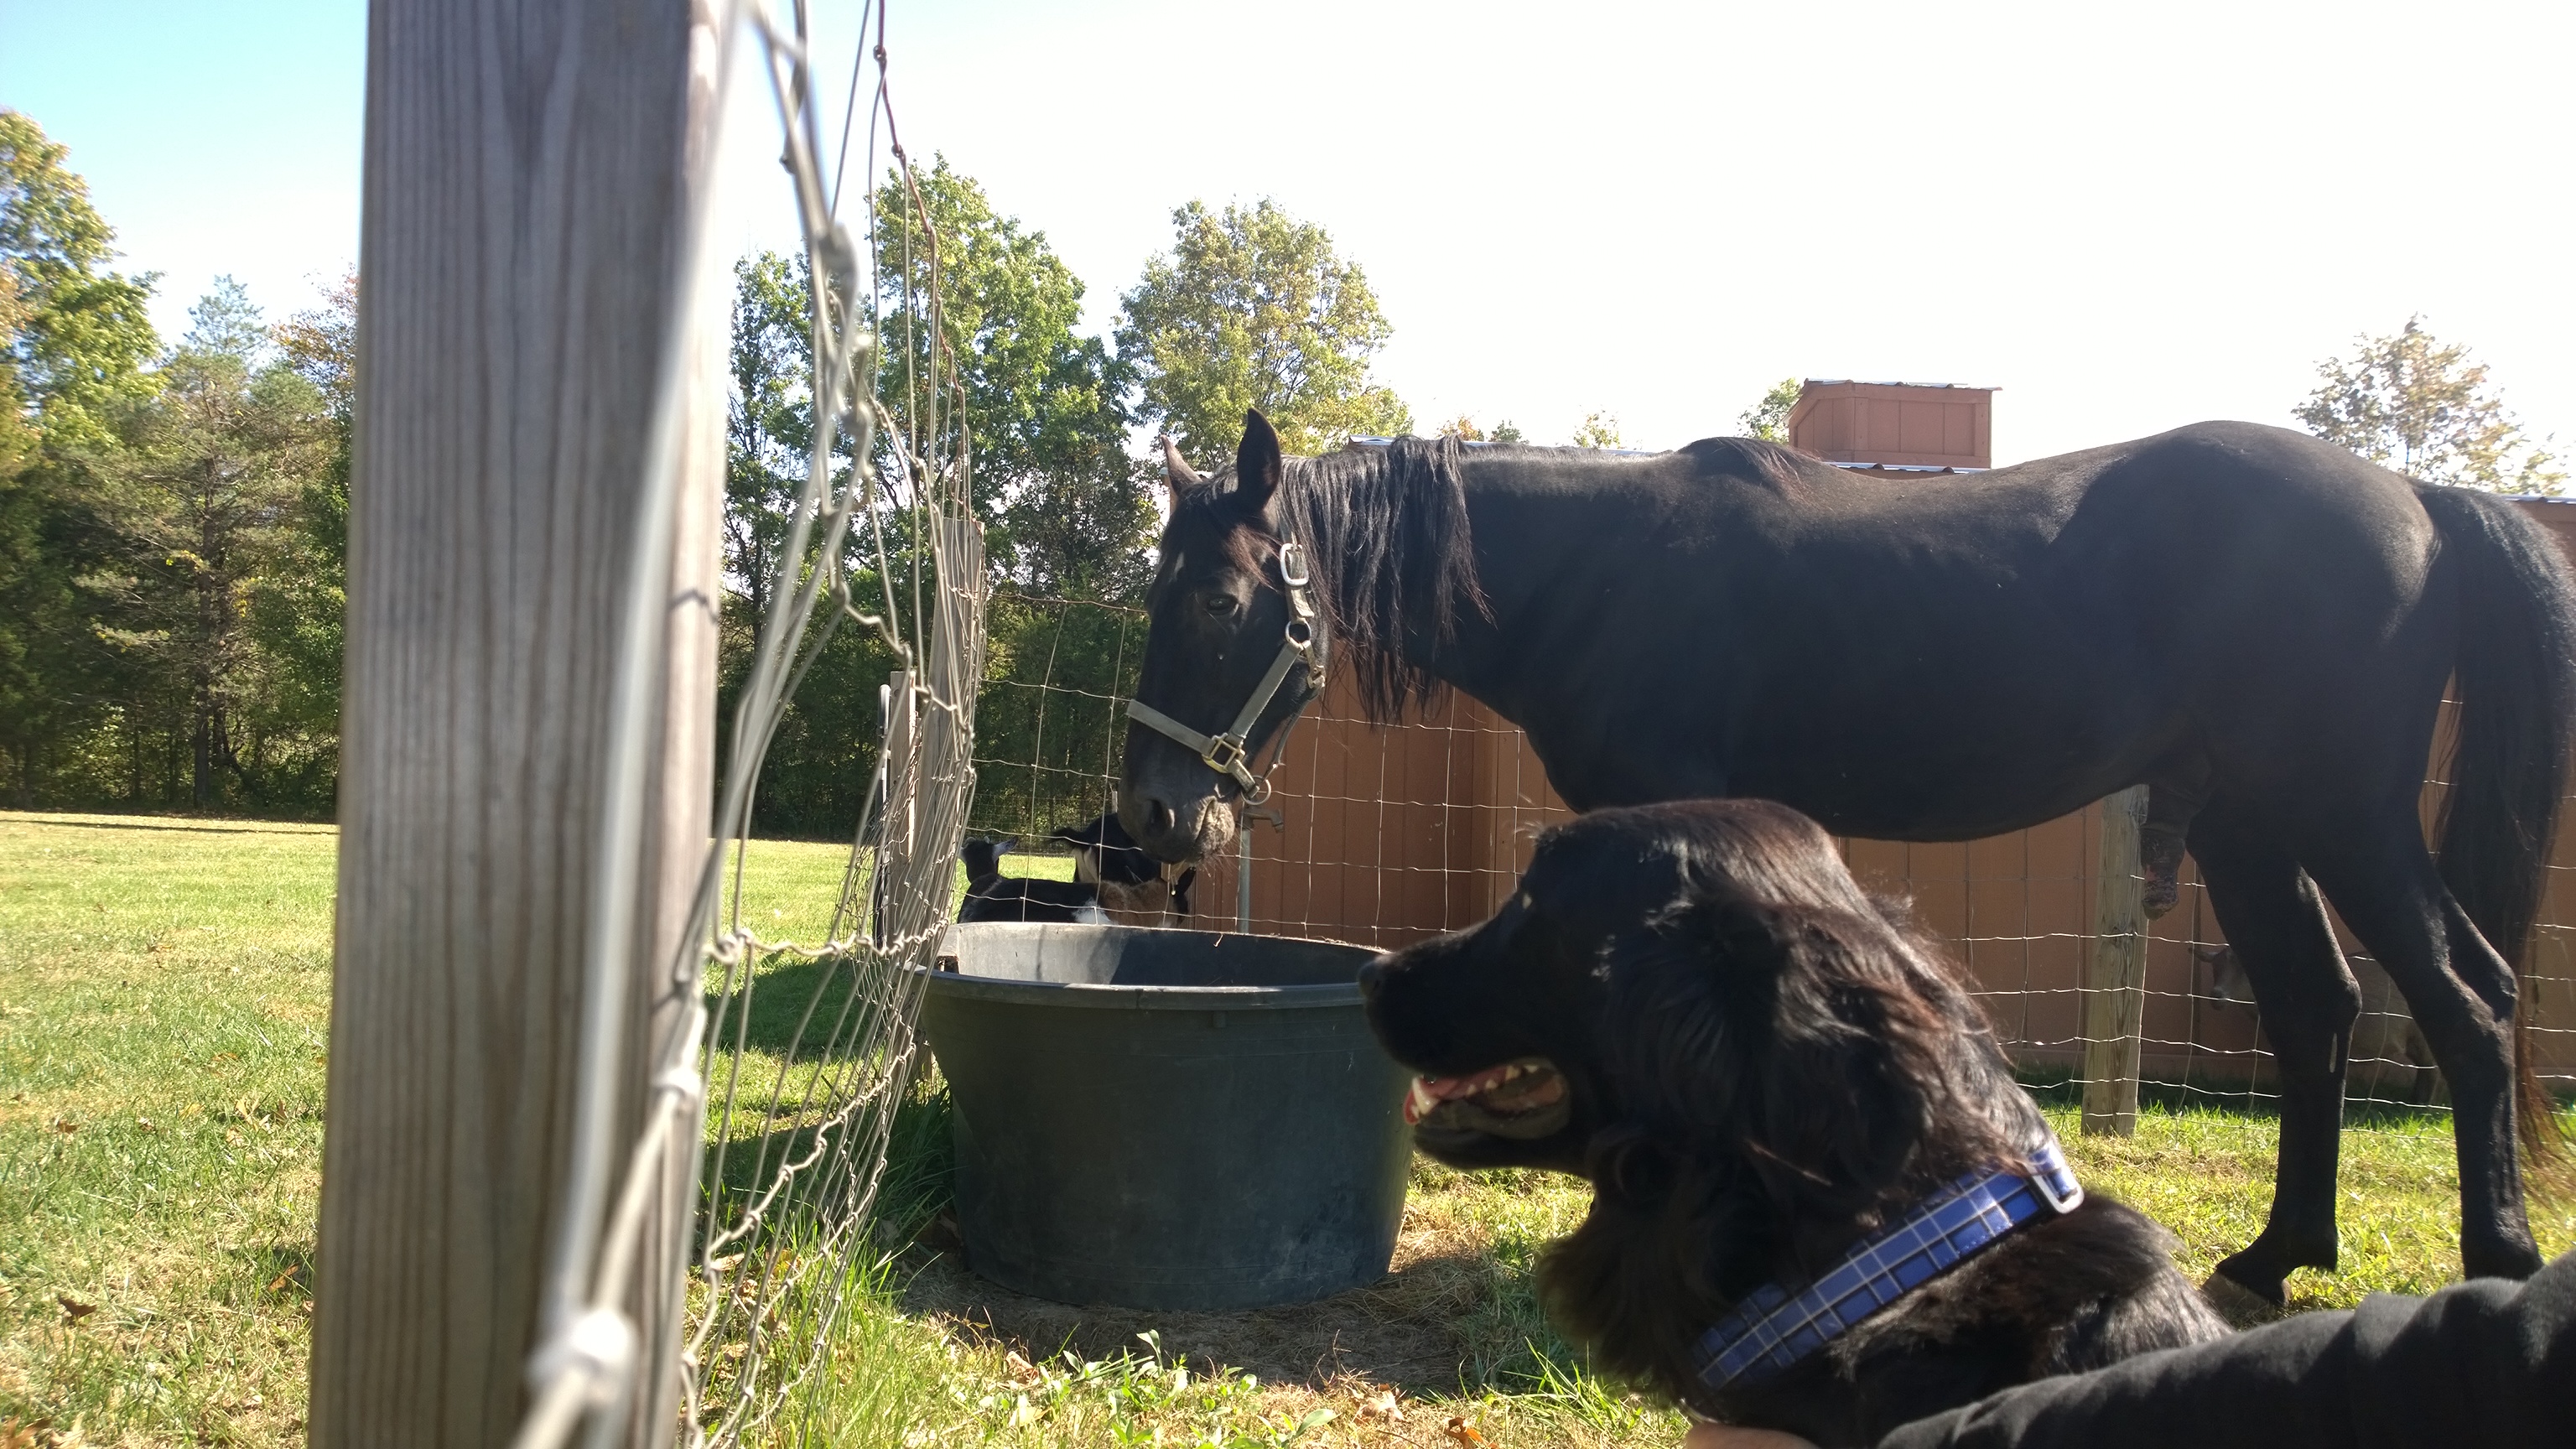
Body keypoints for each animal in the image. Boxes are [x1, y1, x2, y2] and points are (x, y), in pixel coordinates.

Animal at [1117, 409, 2576, 1307]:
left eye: (1217, 599)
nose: (1152, 822)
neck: (1598, 578)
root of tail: (2422, 497)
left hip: (2344, 815)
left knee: (2469, 1000)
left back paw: (2497, 1260)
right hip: (2252, 824)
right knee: (2317, 1010)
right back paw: (2274, 1260)